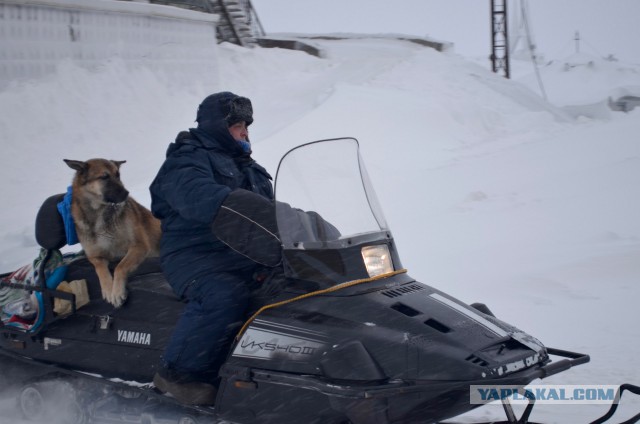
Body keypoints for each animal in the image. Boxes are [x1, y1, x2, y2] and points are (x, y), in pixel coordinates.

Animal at [63, 159, 161, 308]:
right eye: (104, 177)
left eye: (118, 175)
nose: (127, 193)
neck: (100, 216)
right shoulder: (94, 256)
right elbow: (100, 270)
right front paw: (108, 289)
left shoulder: (139, 246)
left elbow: (120, 266)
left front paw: (117, 292)